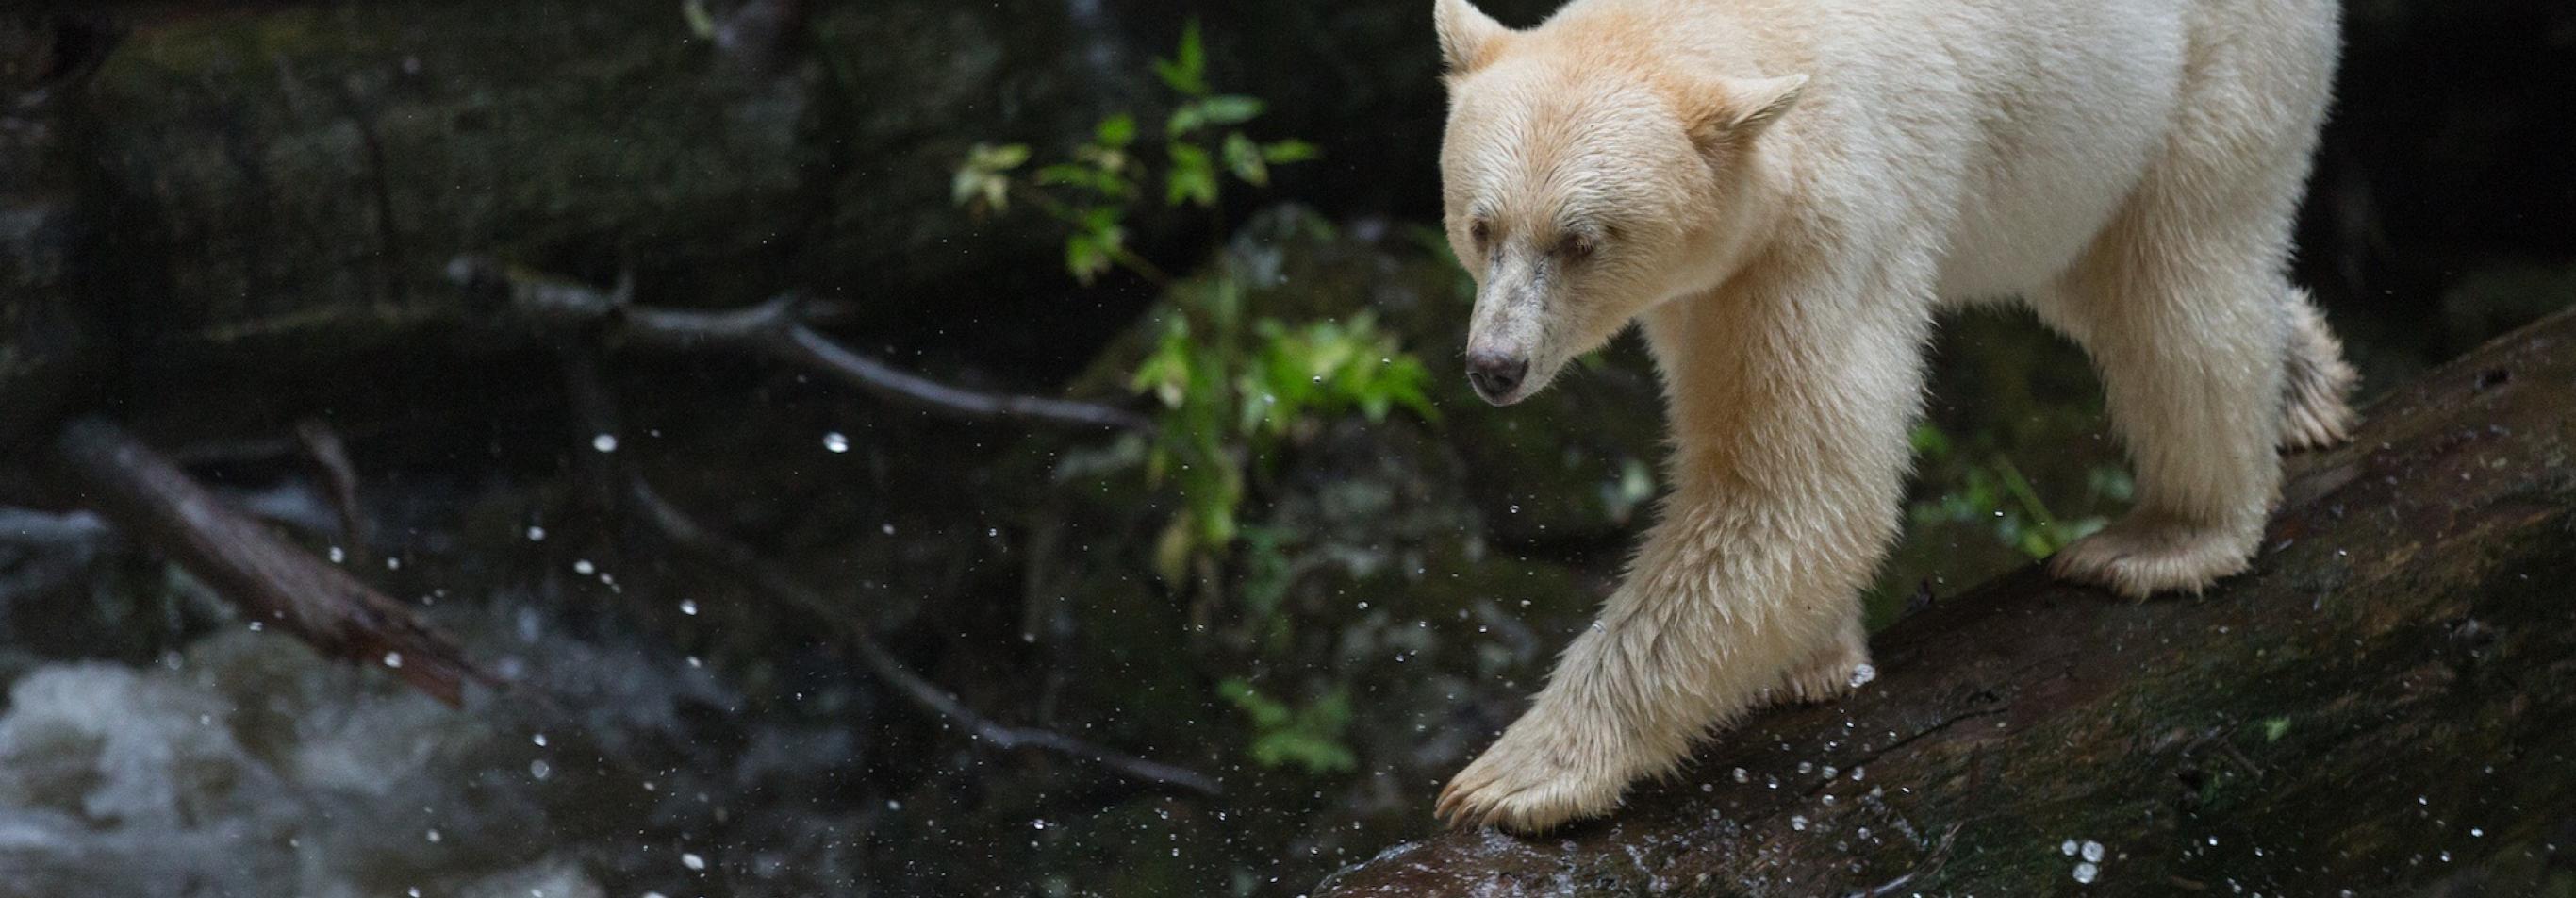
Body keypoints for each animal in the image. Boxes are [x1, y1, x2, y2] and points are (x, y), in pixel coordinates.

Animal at [1431, 0, 2359, 830]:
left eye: (1580, 240)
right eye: (1481, 226)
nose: (1495, 366)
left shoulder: (1831, 224)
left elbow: (1801, 486)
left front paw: (1515, 775)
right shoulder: (1713, 279)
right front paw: (1809, 663)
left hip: (2208, 68)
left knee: (2173, 280)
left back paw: (2170, 537)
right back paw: (2307, 389)